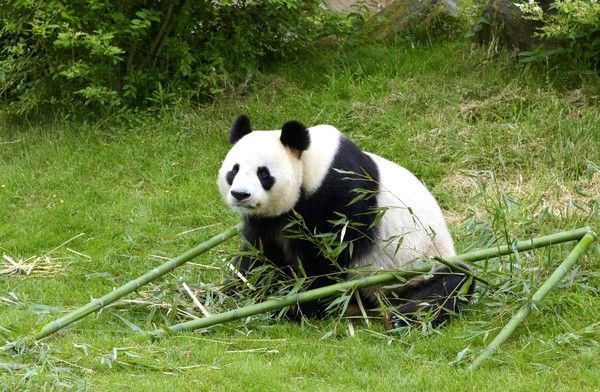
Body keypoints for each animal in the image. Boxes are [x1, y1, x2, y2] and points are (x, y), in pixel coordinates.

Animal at [217, 115, 474, 330]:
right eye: (234, 170)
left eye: (263, 173)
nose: (240, 195)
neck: (311, 165)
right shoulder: (269, 220)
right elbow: (258, 256)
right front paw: (235, 292)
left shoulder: (340, 193)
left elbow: (327, 259)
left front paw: (294, 307)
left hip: (418, 267)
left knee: (450, 285)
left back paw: (401, 319)